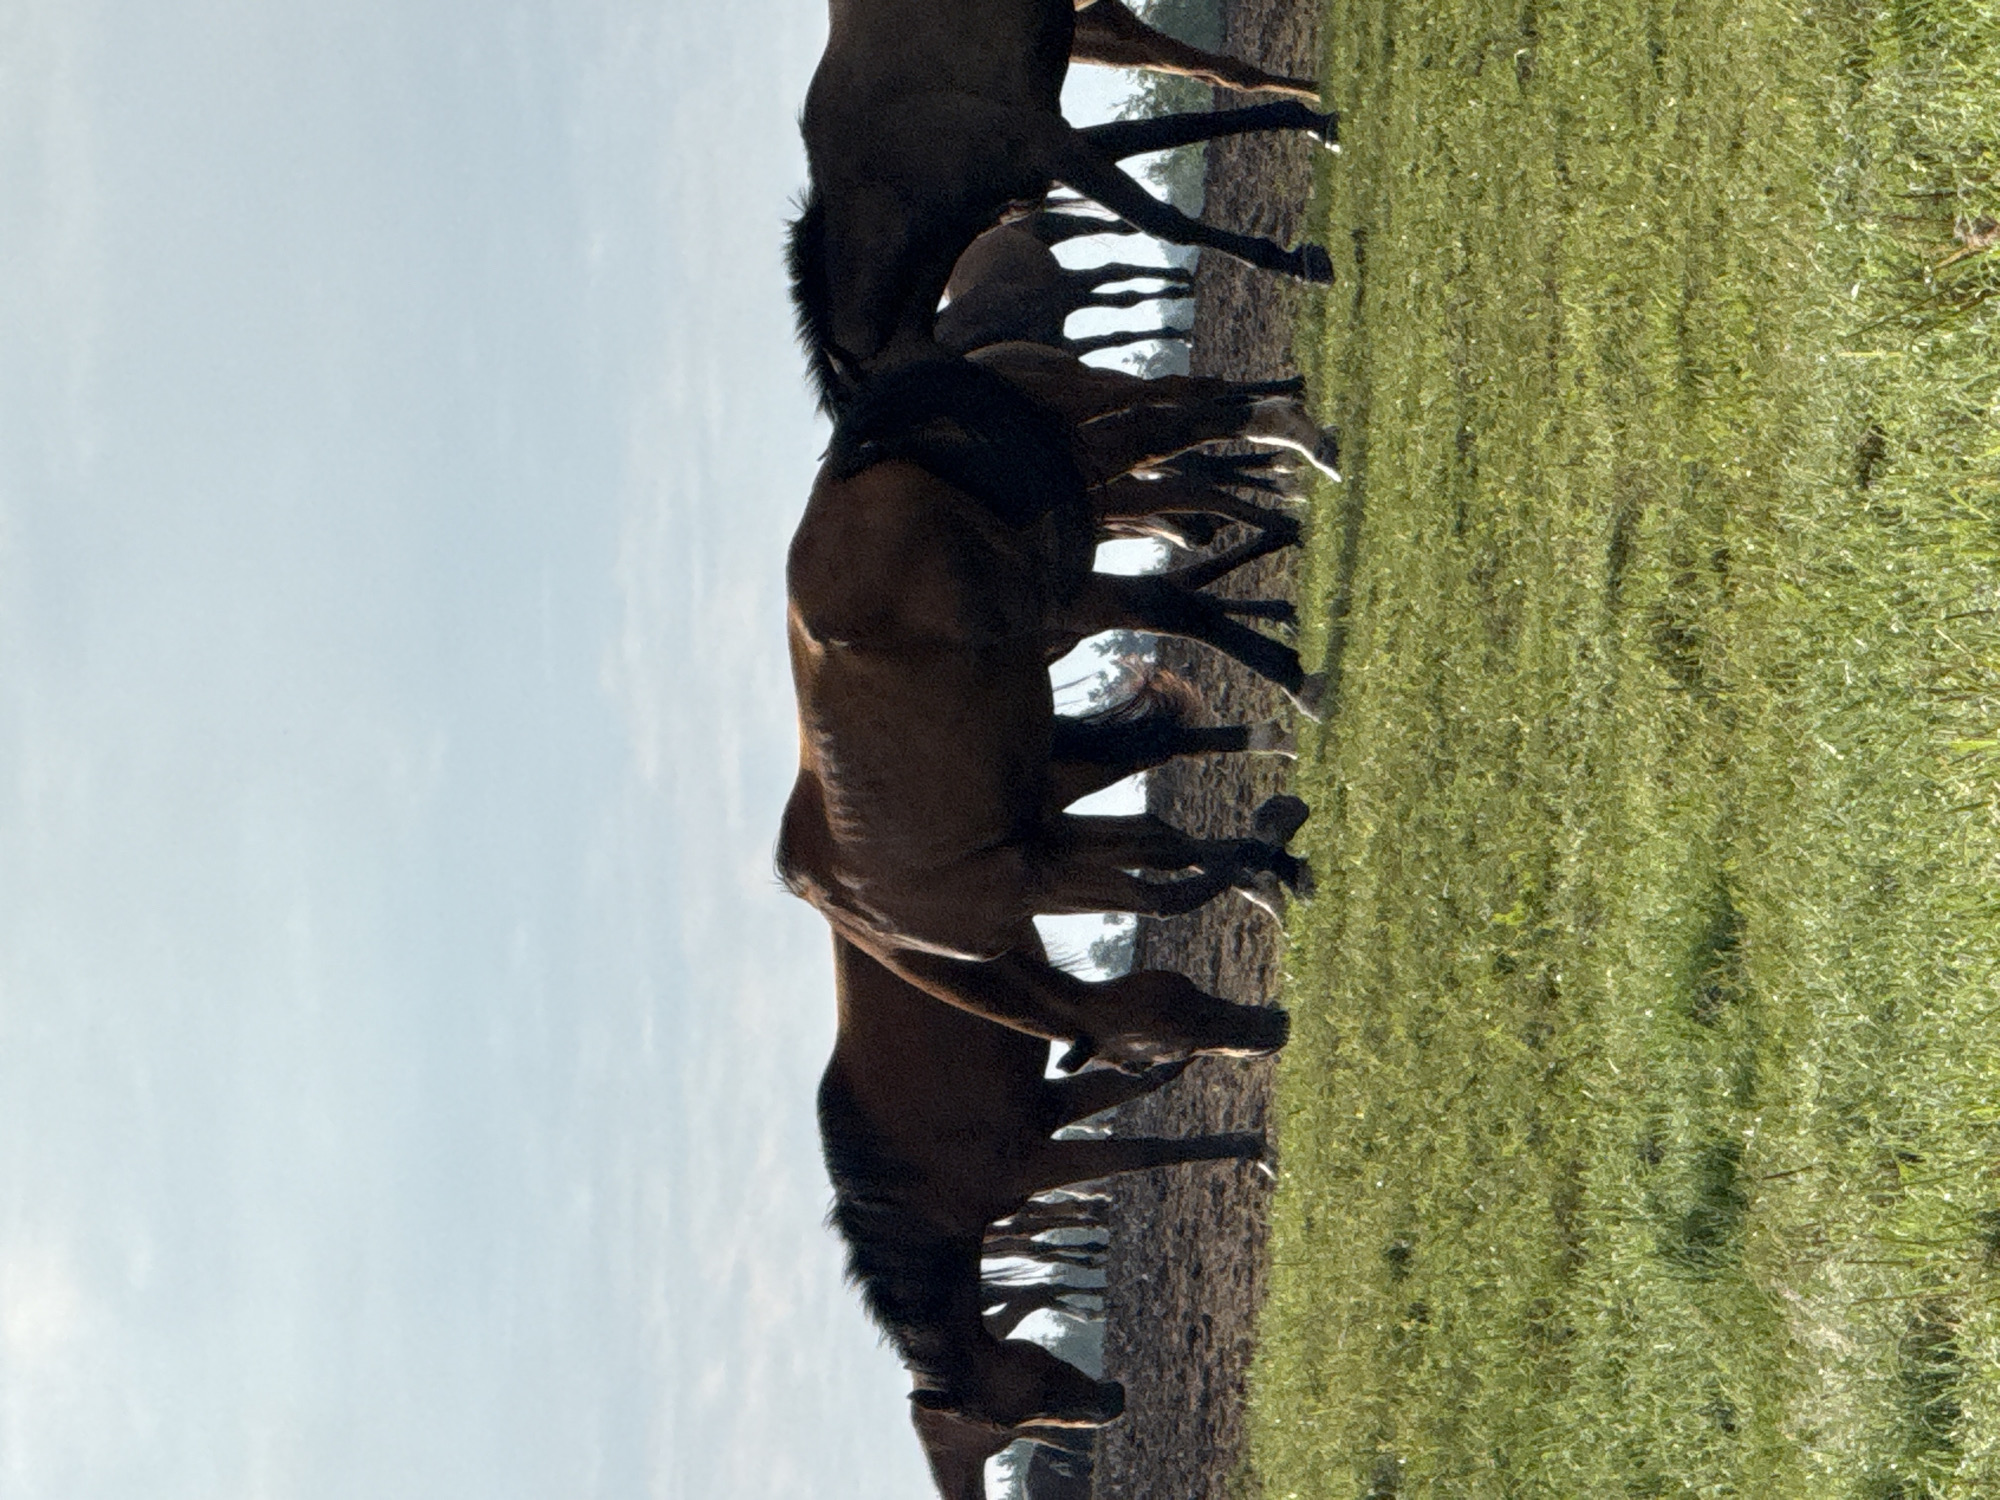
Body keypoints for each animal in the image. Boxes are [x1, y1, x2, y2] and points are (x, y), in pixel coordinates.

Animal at [789, 0, 1338, 408]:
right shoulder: (1059, 154)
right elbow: (1181, 129)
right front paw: (1316, 122)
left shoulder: (1050, 145)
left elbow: (1164, 219)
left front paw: (1299, 262)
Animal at [820, 930, 1270, 1498]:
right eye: (1009, 1424)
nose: (1110, 1403)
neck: (910, 1191)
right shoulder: (1050, 1109)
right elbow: (1148, 1085)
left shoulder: (1042, 1157)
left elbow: (1146, 1147)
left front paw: (1249, 1143)